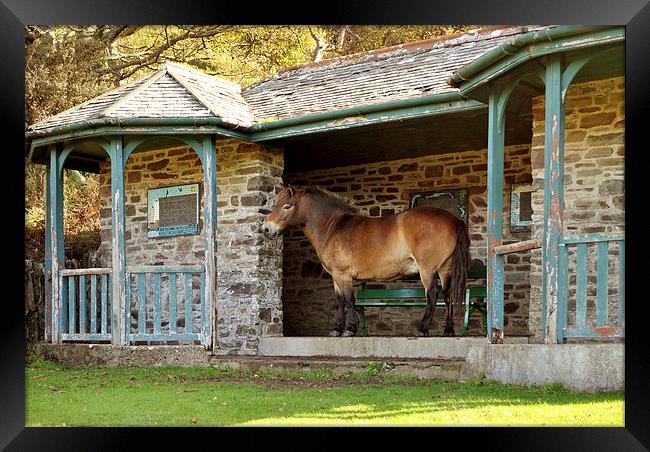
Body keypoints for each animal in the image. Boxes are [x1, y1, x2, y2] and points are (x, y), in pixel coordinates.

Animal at [260, 185, 468, 338]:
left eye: (287, 206)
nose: (266, 229)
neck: (332, 227)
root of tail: (453, 220)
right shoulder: (335, 276)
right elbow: (339, 301)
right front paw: (336, 329)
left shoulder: (343, 275)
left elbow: (349, 299)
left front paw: (350, 329)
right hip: (445, 269)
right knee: (447, 295)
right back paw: (448, 330)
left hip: (427, 270)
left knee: (432, 295)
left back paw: (423, 329)